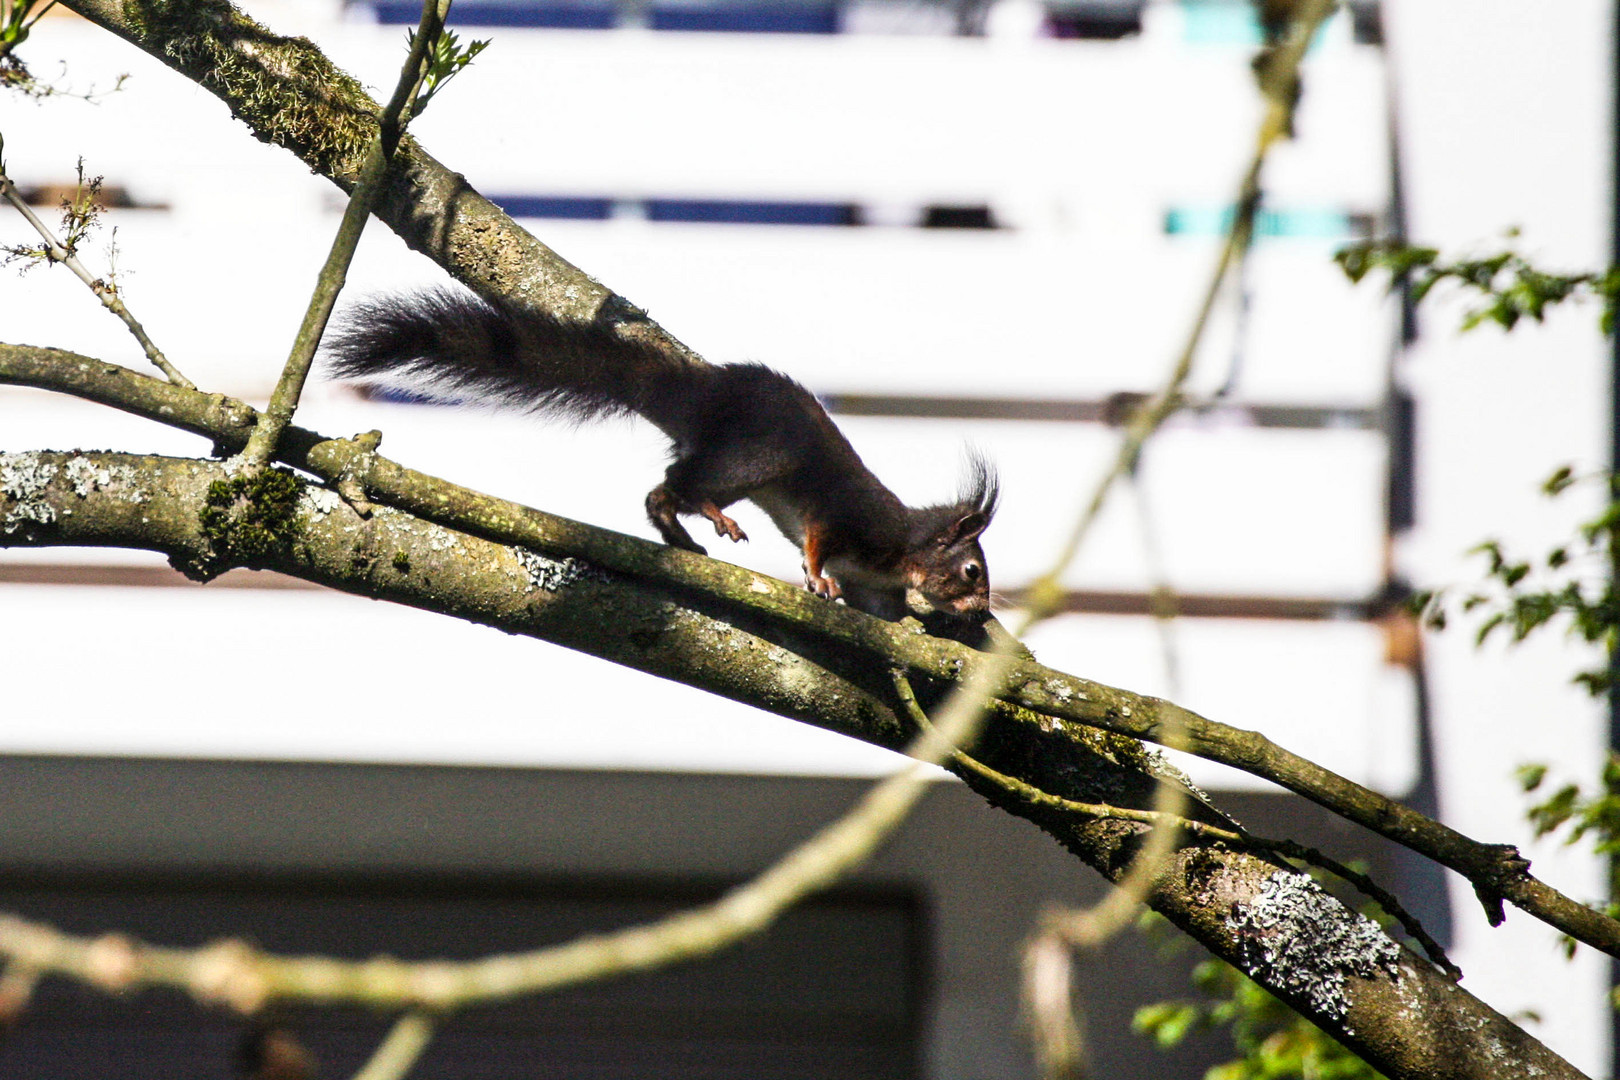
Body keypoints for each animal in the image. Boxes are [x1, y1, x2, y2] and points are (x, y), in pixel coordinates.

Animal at [324, 286, 991, 625]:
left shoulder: (874, 583)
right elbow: (819, 541)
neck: (902, 552)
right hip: (755, 458)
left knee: (658, 494)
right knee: (675, 484)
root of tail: (709, 393)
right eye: (972, 572)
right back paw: (707, 519)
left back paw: (681, 537)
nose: (982, 612)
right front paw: (817, 578)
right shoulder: (851, 518)